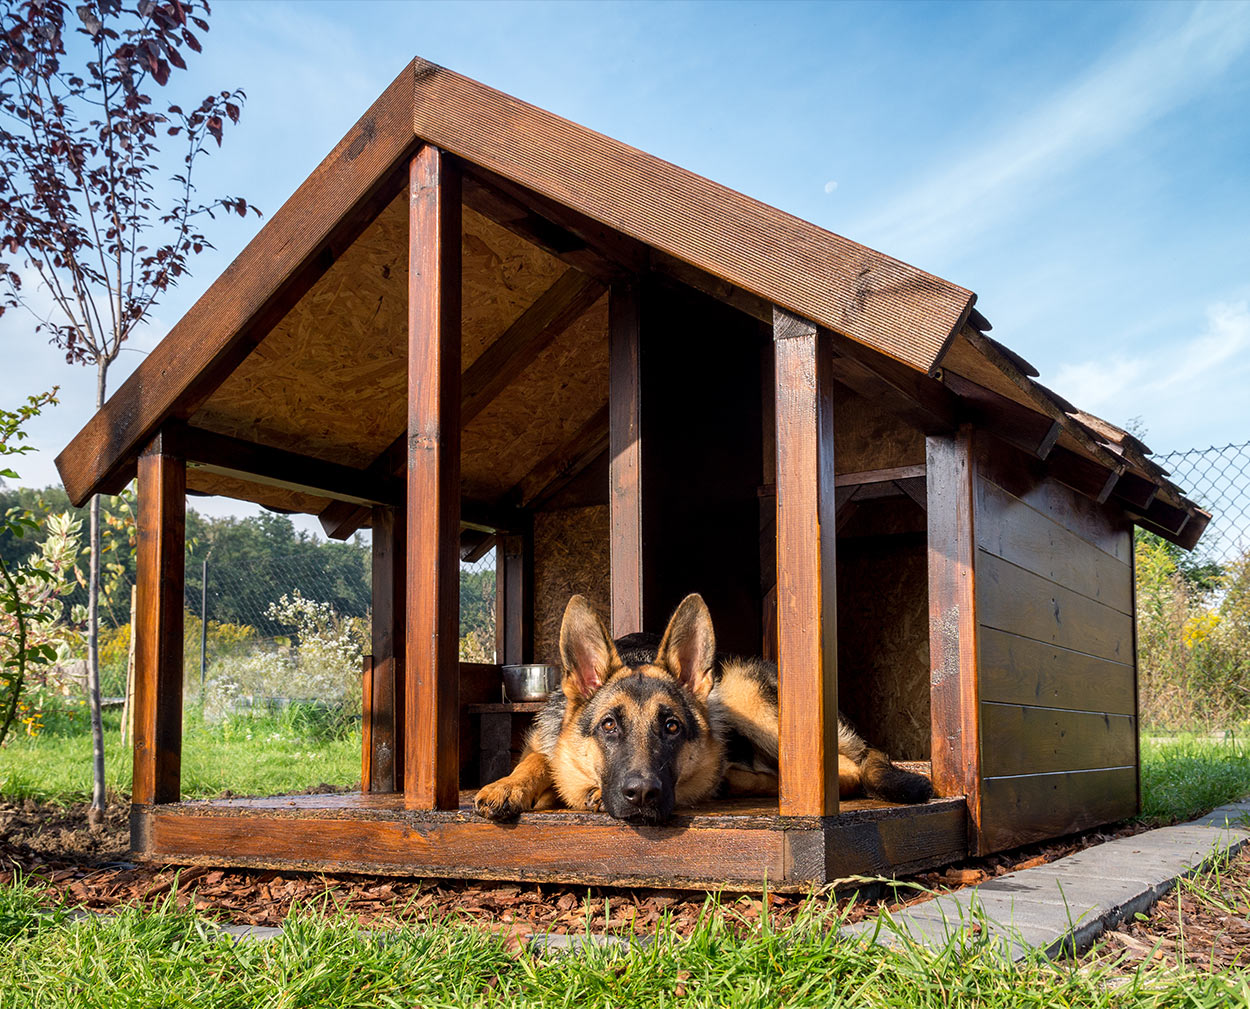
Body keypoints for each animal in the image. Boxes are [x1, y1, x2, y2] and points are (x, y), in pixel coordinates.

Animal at [472, 595, 935, 825]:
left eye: (672, 727)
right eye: (608, 725)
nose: (643, 795)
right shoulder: (548, 747)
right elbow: (537, 760)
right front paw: (506, 786)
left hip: (741, 690)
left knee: (846, 770)